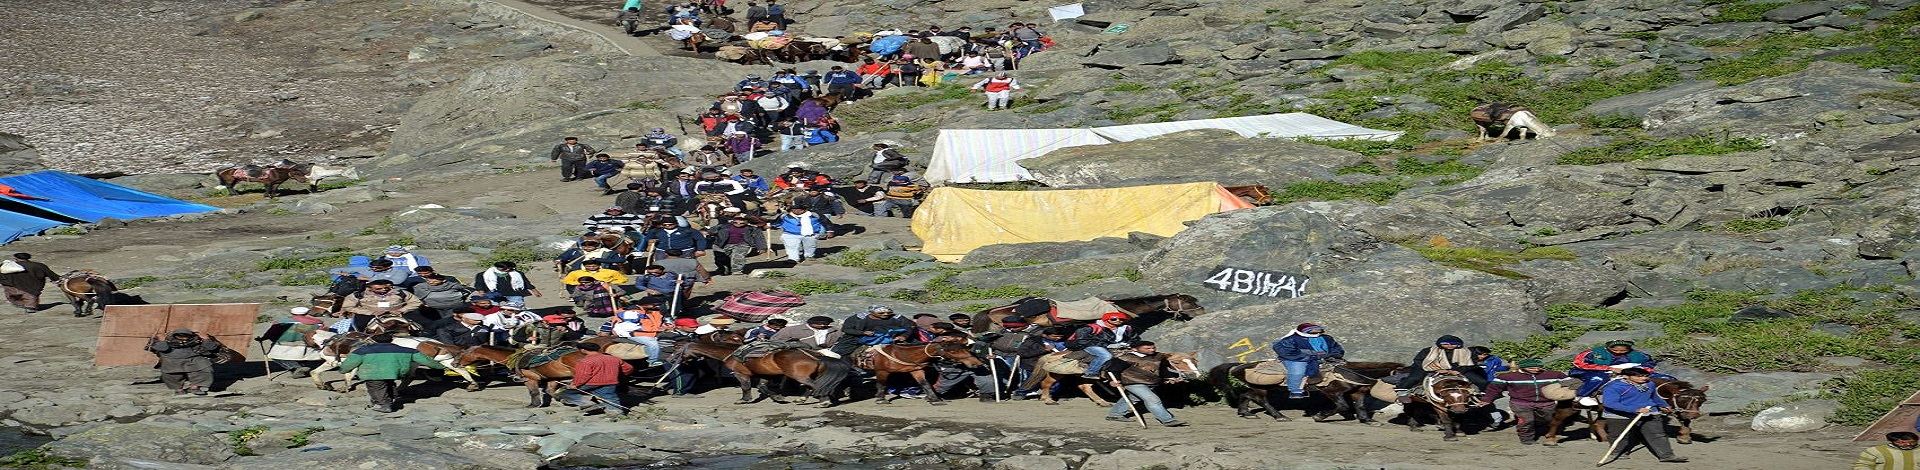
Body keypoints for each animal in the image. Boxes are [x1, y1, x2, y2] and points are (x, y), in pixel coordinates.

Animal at [1021, 351, 1198, 406]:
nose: (1195, 374)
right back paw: (1047, 399)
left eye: (1194, 361)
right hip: (1058, 373)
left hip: (1088, 376)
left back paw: (1102, 402)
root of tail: (1054, 353)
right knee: (1046, 383)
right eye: (1177, 362)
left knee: (1085, 387)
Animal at [1205, 362, 1405, 423]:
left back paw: (1246, 413)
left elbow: (1360, 406)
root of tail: (1240, 365)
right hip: (1262, 387)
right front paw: (1319, 416)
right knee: (1261, 401)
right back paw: (1279, 416)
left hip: (1259, 387)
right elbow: (1342, 406)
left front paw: (1367, 420)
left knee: (1247, 396)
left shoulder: (1358, 393)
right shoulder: (1333, 392)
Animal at [1543, 377, 1712, 445]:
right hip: (1569, 407)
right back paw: (1550, 439)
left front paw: (1684, 437)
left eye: (1701, 400)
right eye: (1683, 398)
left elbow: (1684, 420)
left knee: (1598, 424)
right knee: (1556, 420)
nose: (1695, 414)